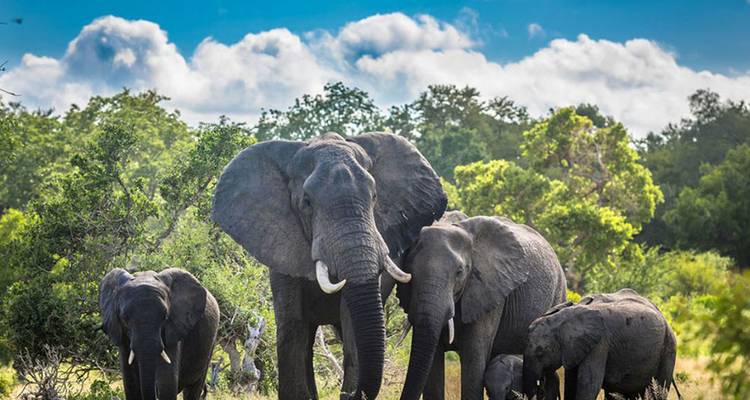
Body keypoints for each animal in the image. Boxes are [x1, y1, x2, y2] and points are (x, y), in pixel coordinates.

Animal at [99, 268, 220, 400]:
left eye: (165, 317)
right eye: (124, 318)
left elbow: (166, 384)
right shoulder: (122, 336)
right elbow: (131, 384)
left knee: (193, 389)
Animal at [396, 212, 567, 400]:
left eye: (460, 272)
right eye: (410, 269)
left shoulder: (490, 290)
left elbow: (474, 357)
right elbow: (434, 361)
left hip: (558, 294)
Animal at [522, 288, 678, 400]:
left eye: (540, 353)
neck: (563, 316)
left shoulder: (600, 343)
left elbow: (588, 384)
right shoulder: (575, 348)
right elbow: (571, 383)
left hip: (668, 348)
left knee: (657, 391)